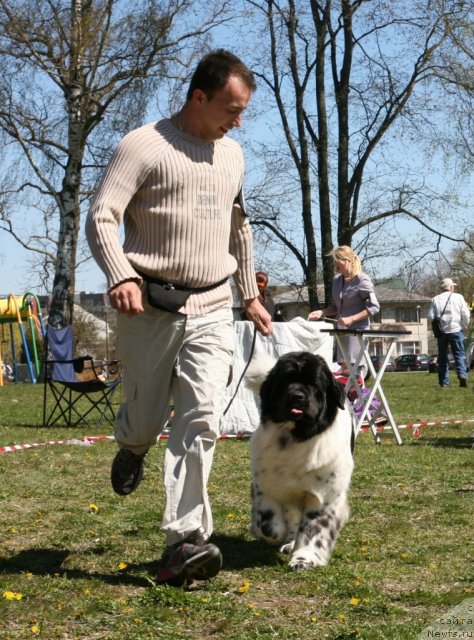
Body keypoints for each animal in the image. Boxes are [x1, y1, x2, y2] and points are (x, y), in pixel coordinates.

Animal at [246, 352, 354, 572]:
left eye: (314, 384)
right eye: (285, 381)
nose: (296, 396)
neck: (295, 438)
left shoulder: (322, 497)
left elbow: (314, 531)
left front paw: (304, 559)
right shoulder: (266, 486)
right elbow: (268, 523)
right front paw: (274, 533)